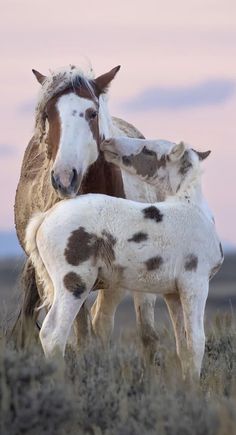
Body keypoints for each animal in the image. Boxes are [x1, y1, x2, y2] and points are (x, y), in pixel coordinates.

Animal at [13, 62, 157, 358]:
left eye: (92, 113)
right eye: (48, 114)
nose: (64, 178)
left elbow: (141, 334)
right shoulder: (70, 281)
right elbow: (80, 337)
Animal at [25, 141, 223, 382]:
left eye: (149, 150)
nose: (109, 143)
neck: (193, 209)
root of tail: (44, 217)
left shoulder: (173, 293)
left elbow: (183, 344)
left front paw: (187, 384)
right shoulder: (196, 284)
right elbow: (197, 341)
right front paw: (194, 387)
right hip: (74, 283)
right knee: (53, 334)